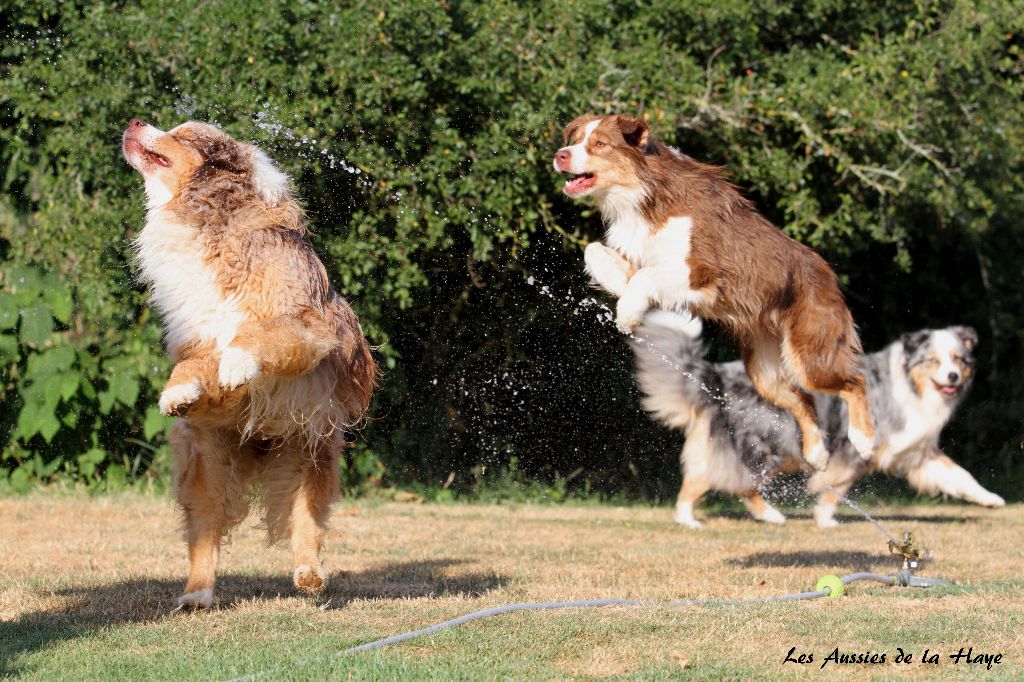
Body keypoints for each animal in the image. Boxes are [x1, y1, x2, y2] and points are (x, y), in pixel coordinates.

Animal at [120, 115, 376, 606]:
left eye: (182, 135)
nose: (135, 121)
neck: (209, 224)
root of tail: (260, 443)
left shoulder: (311, 325)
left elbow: (259, 336)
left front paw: (237, 363)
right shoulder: (195, 337)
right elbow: (191, 364)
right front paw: (178, 391)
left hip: (310, 453)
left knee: (306, 522)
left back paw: (309, 575)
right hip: (208, 465)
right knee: (205, 532)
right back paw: (197, 594)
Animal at [557, 114, 876, 471]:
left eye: (599, 143)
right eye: (576, 140)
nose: (560, 155)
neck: (644, 194)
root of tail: (831, 278)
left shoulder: (703, 272)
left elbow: (644, 278)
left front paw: (628, 313)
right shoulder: (642, 252)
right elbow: (595, 252)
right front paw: (623, 292)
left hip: (809, 352)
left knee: (855, 382)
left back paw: (863, 441)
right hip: (766, 370)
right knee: (804, 399)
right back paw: (817, 454)